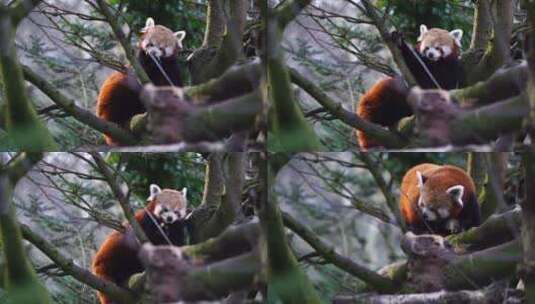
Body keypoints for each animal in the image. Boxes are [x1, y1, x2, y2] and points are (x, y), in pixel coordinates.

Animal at [96, 17, 186, 146]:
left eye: (162, 48)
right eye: (151, 44)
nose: (153, 53)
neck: (155, 65)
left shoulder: (171, 69)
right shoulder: (138, 65)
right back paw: (119, 122)